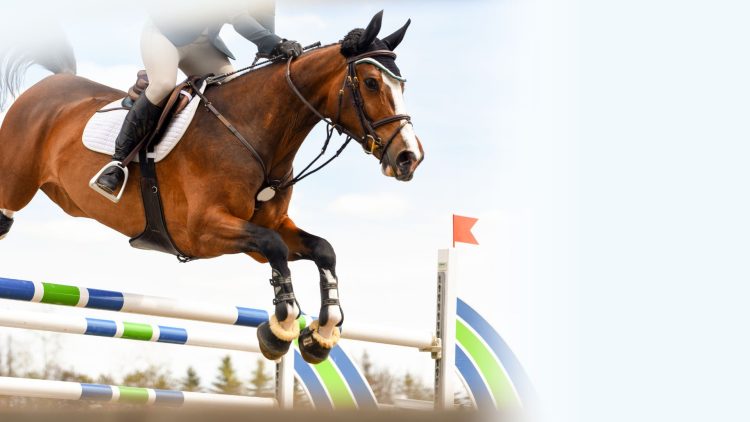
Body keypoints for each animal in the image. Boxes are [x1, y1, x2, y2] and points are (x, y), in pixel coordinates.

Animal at [0, 11, 423, 364]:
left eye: (402, 85)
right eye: (371, 82)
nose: (409, 158)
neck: (255, 132)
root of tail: (52, 84)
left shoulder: (263, 231)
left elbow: (322, 250)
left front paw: (322, 333)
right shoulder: (202, 230)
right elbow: (274, 246)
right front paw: (282, 328)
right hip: (13, 187)